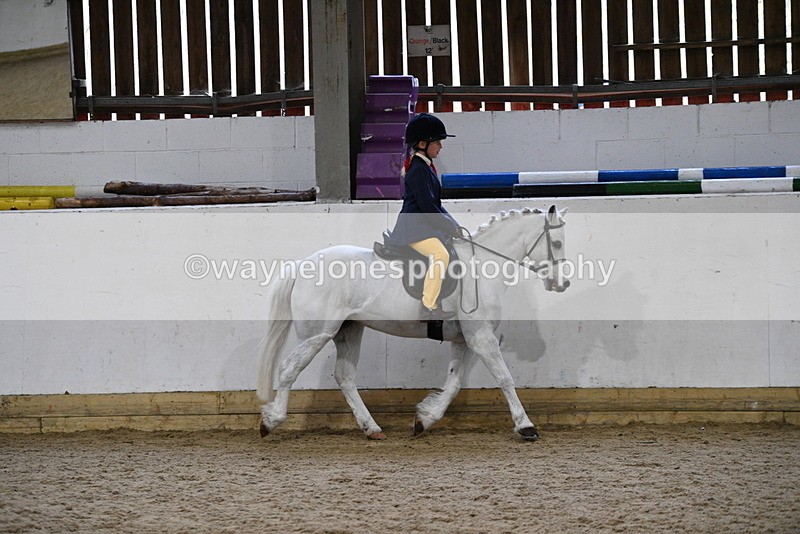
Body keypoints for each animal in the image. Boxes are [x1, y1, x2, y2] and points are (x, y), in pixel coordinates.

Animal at [256, 205, 569, 440]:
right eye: (556, 243)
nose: (563, 284)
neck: (481, 265)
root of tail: (302, 264)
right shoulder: (481, 336)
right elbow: (504, 378)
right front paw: (526, 426)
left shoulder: (465, 338)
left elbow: (454, 383)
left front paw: (425, 420)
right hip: (317, 333)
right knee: (289, 369)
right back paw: (271, 421)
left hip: (348, 330)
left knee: (345, 376)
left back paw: (372, 428)